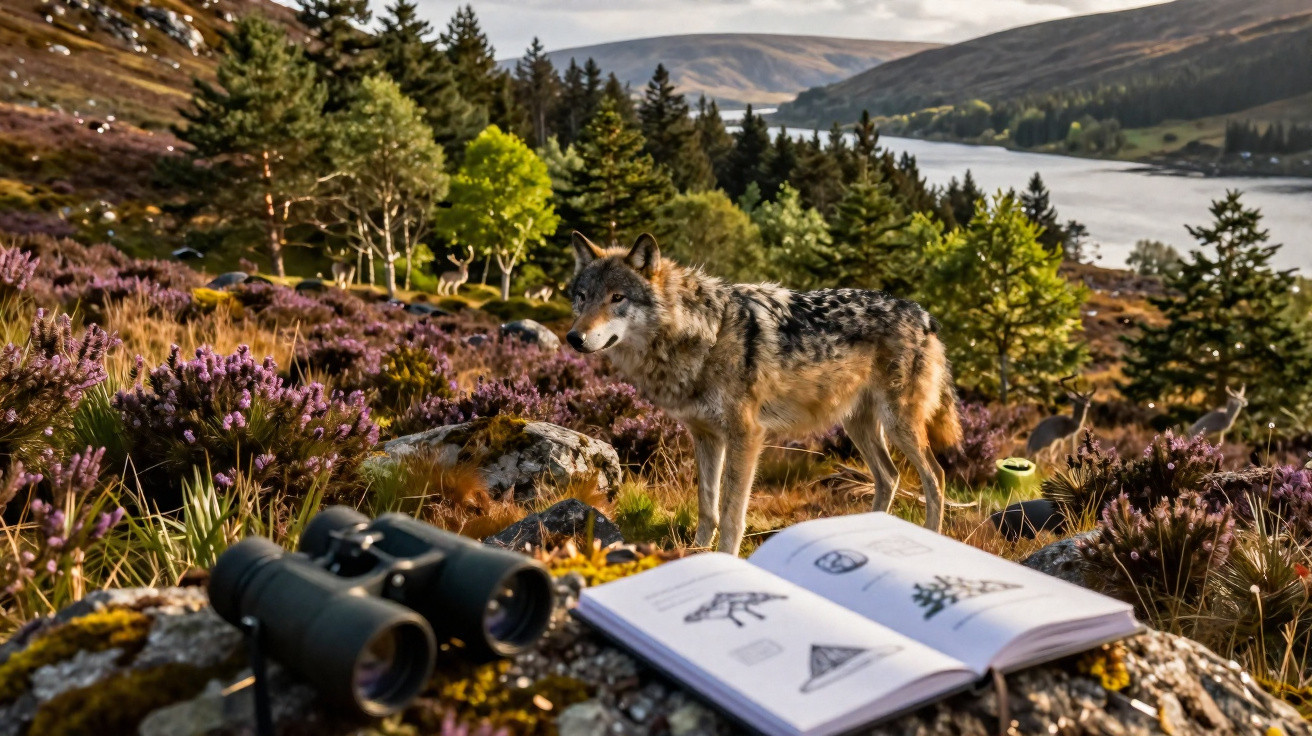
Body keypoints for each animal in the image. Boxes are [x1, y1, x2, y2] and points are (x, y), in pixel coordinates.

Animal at [566, 231, 961, 556]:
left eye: (617, 298)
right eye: (582, 297)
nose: (573, 337)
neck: (705, 334)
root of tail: (925, 316)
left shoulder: (746, 436)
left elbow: (730, 513)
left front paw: (724, 558)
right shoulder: (705, 436)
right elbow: (707, 506)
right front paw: (696, 553)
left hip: (898, 425)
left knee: (935, 477)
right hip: (858, 426)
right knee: (889, 477)